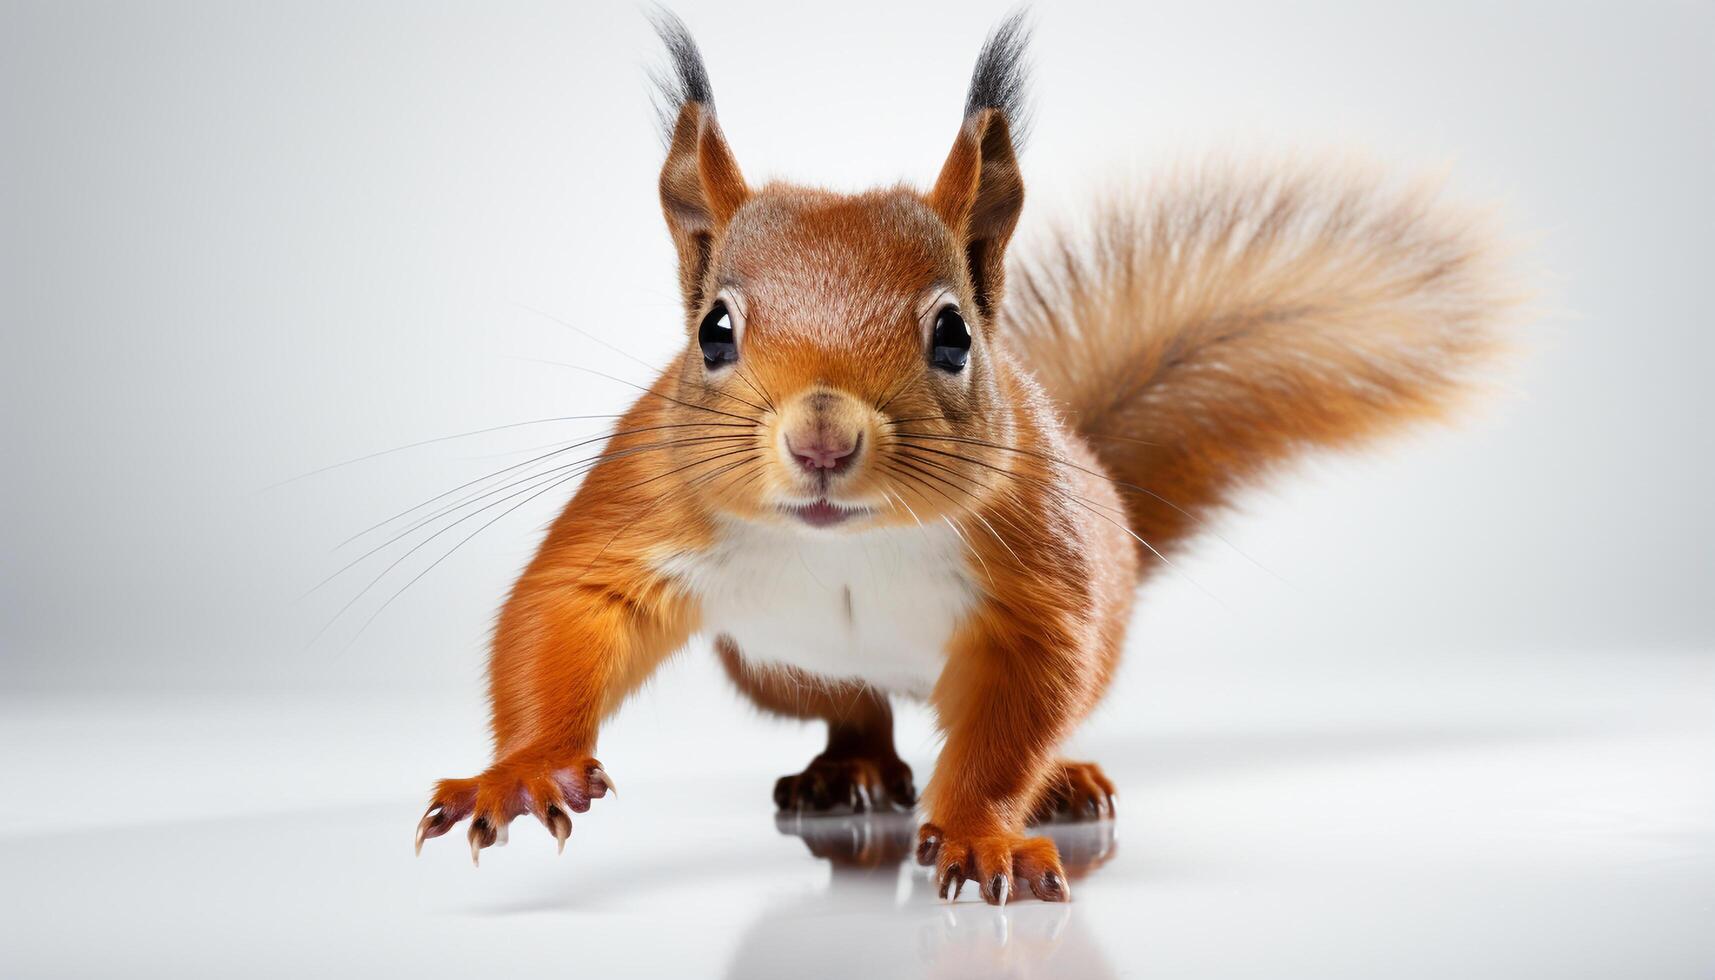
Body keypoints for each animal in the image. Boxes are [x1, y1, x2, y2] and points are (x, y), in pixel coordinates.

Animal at [411, 11, 1516, 906]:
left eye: (952, 335)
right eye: (713, 331)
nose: (822, 436)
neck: (841, 543)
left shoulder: (1033, 570)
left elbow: (1013, 716)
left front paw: (985, 838)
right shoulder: (648, 495)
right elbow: (562, 611)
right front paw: (522, 771)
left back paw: (1061, 782)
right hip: (778, 672)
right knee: (855, 709)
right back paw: (847, 773)